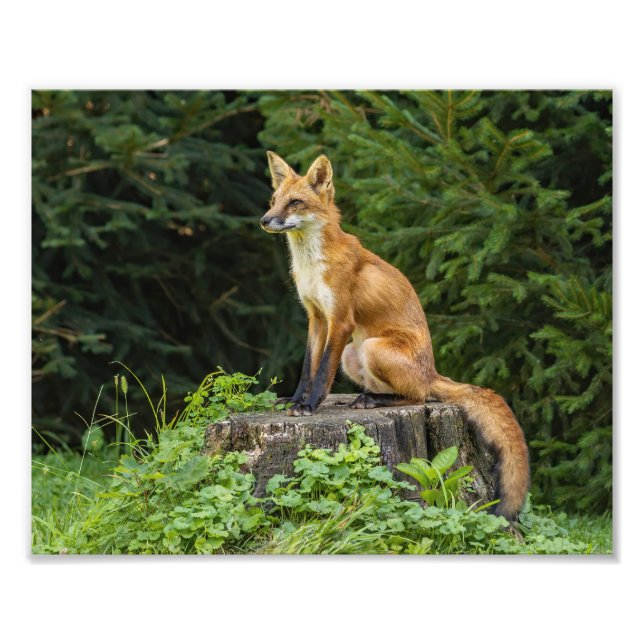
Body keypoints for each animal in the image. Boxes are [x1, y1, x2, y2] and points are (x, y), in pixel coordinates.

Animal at [260, 151, 530, 521]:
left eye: (295, 203)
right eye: (274, 200)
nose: (264, 220)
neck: (312, 266)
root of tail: (433, 372)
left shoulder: (340, 322)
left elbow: (323, 371)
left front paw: (310, 405)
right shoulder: (316, 319)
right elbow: (307, 369)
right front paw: (296, 400)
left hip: (372, 348)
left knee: (419, 396)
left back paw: (374, 401)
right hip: (354, 355)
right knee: (397, 391)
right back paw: (366, 398)